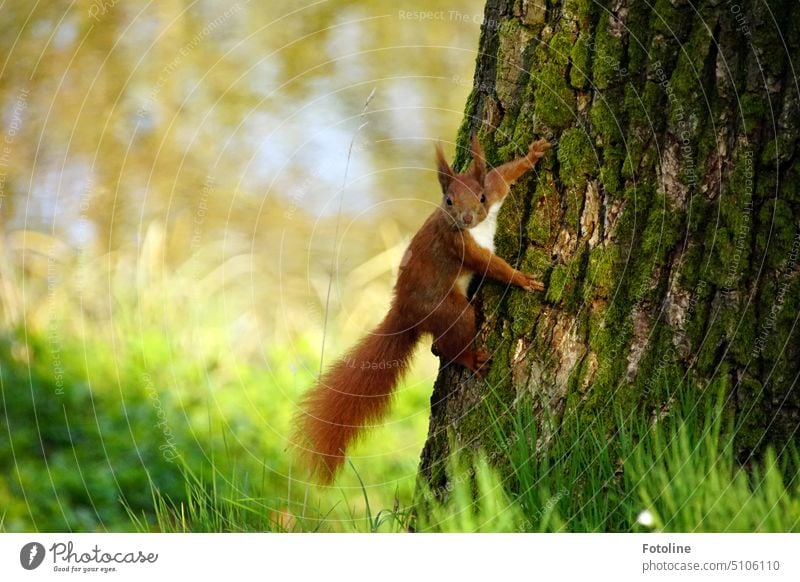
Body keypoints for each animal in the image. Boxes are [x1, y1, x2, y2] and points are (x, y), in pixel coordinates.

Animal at [292, 136, 552, 484]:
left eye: (480, 197)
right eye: (449, 201)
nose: (467, 218)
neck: (477, 228)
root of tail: (405, 313)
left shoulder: (493, 192)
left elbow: (502, 175)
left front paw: (534, 153)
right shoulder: (462, 247)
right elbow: (493, 267)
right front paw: (523, 280)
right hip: (451, 310)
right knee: (454, 341)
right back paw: (471, 359)